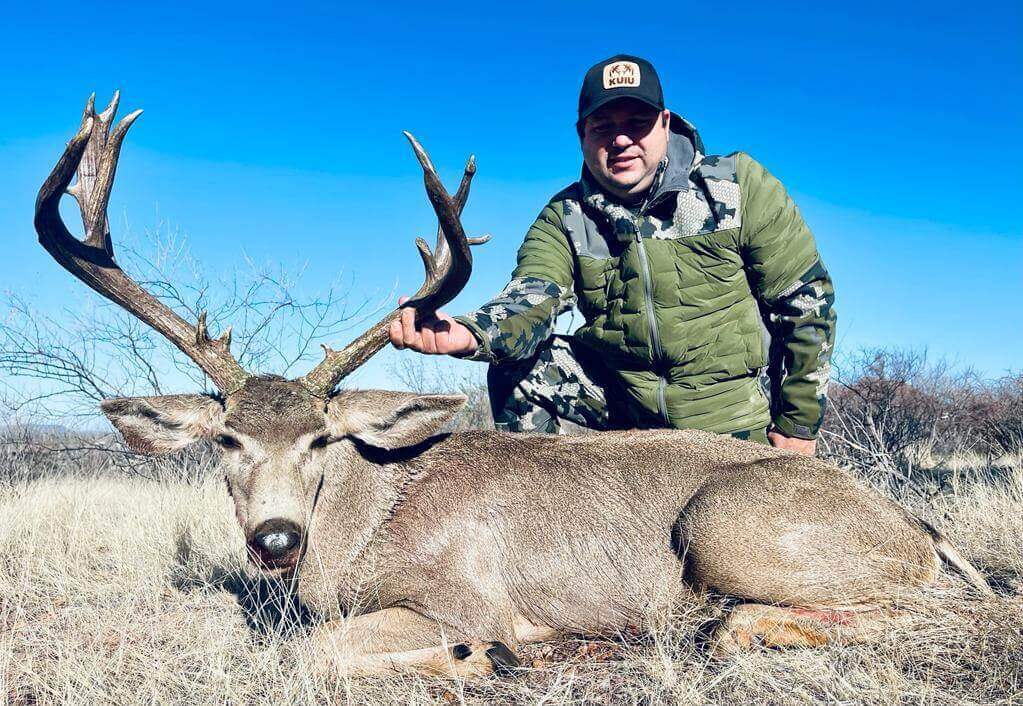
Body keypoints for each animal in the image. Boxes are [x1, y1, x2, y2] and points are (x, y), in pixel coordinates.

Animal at [35, 93, 992, 679]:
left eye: (321, 438)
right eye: (227, 437)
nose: (275, 539)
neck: (363, 528)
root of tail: (920, 530)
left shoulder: (466, 597)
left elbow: (313, 652)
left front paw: (478, 659)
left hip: (725, 525)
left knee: (922, 606)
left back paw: (721, 627)